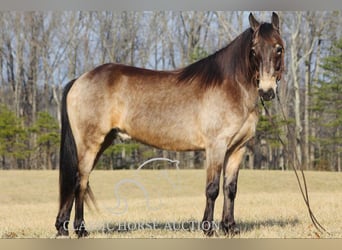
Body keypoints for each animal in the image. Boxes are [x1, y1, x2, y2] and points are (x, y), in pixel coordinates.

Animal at [55, 12, 284, 238]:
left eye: (279, 48)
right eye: (253, 50)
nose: (266, 91)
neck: (231, 87)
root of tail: (79, 80)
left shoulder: (237, 148)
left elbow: (231, 189)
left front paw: (230, 228)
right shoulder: (215, 147)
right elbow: (212, 188)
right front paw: (208, 229)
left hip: (102, 142)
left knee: (80, 182)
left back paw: (64, 228)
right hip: (89, 144)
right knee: (80, 181)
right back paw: (79, 230)